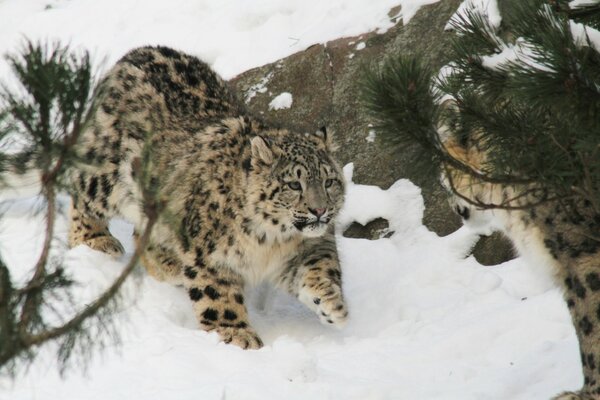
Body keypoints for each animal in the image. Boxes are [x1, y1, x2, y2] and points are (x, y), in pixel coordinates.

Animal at [67, 46, 346, 346]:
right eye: (294, 184)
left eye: (329, 181)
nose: (319, 211)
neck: (272, 241)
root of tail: (135, 53)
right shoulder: (210, 255)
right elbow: (219, 294)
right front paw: (237, 334)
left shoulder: (310, 246)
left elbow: (322, 265)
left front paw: (332, 304)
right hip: (107, 178)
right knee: (79, 186)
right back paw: (94, 240)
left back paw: (170, 267)